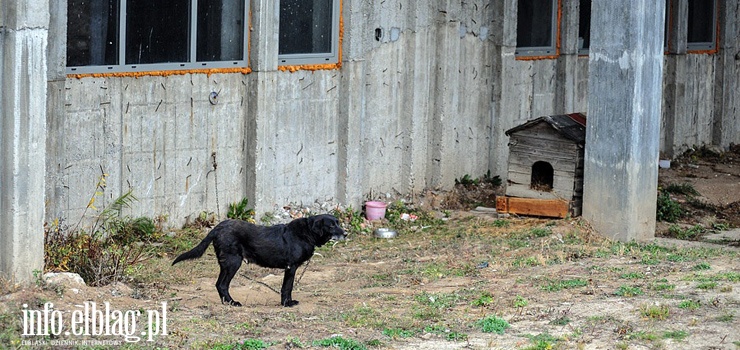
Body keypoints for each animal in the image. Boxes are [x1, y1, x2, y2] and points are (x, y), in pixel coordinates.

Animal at [173, 213, 346, 306]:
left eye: (338, 222)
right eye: (331, 225)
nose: (345, 233)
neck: (307, 232)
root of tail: (217, 227)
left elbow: (288, 288)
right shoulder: (291, 267)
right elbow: (287, 287)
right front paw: (286, 304)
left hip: (226, 263)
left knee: (218, 284)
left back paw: (227, 302)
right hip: (233, 262)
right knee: (222, 284)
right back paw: (233, 303)